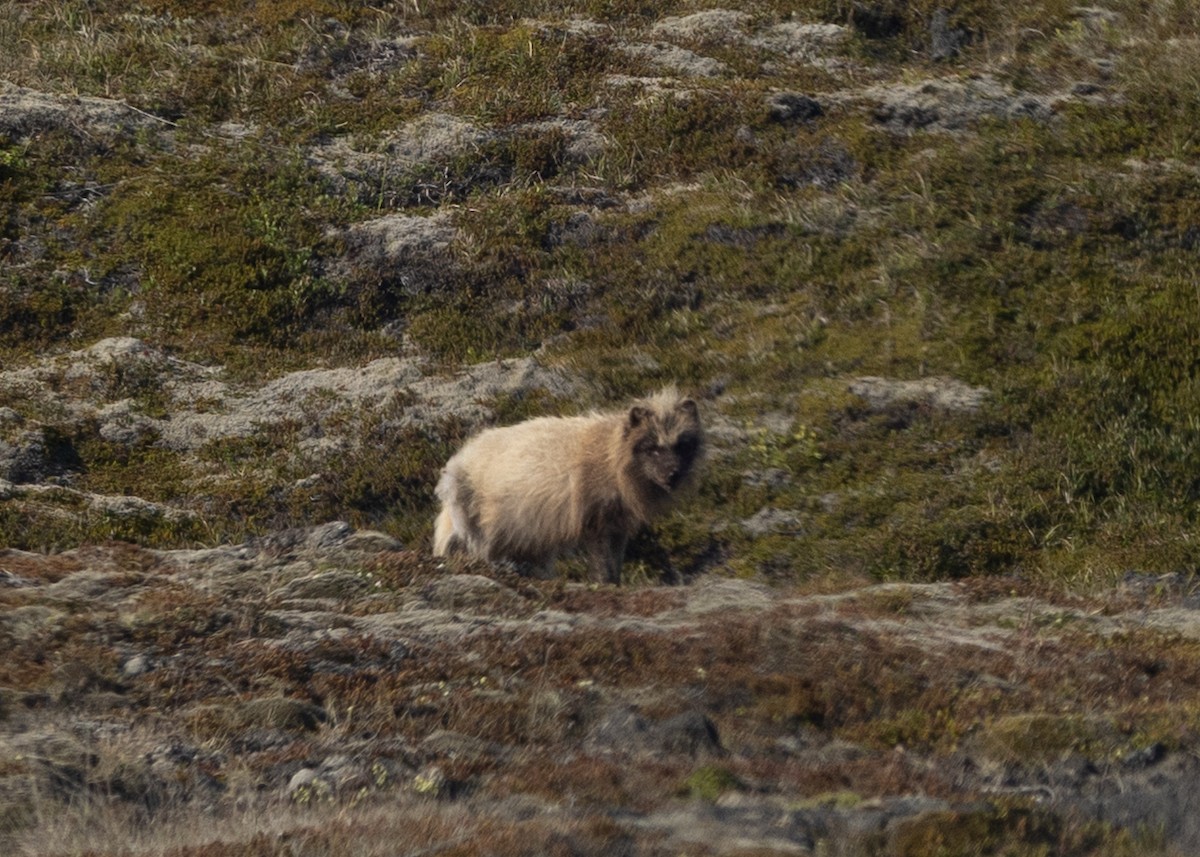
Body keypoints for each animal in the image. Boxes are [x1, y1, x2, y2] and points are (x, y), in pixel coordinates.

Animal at [432, 388, 704, 583]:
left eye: (681, 446)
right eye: (652, 448)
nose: (673, 475)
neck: (611, 457)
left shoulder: (618, 526)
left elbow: (615, 564)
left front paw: (616, 585)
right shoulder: (596, 522)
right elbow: (603, 565)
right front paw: (604, 585)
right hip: (473, 524)